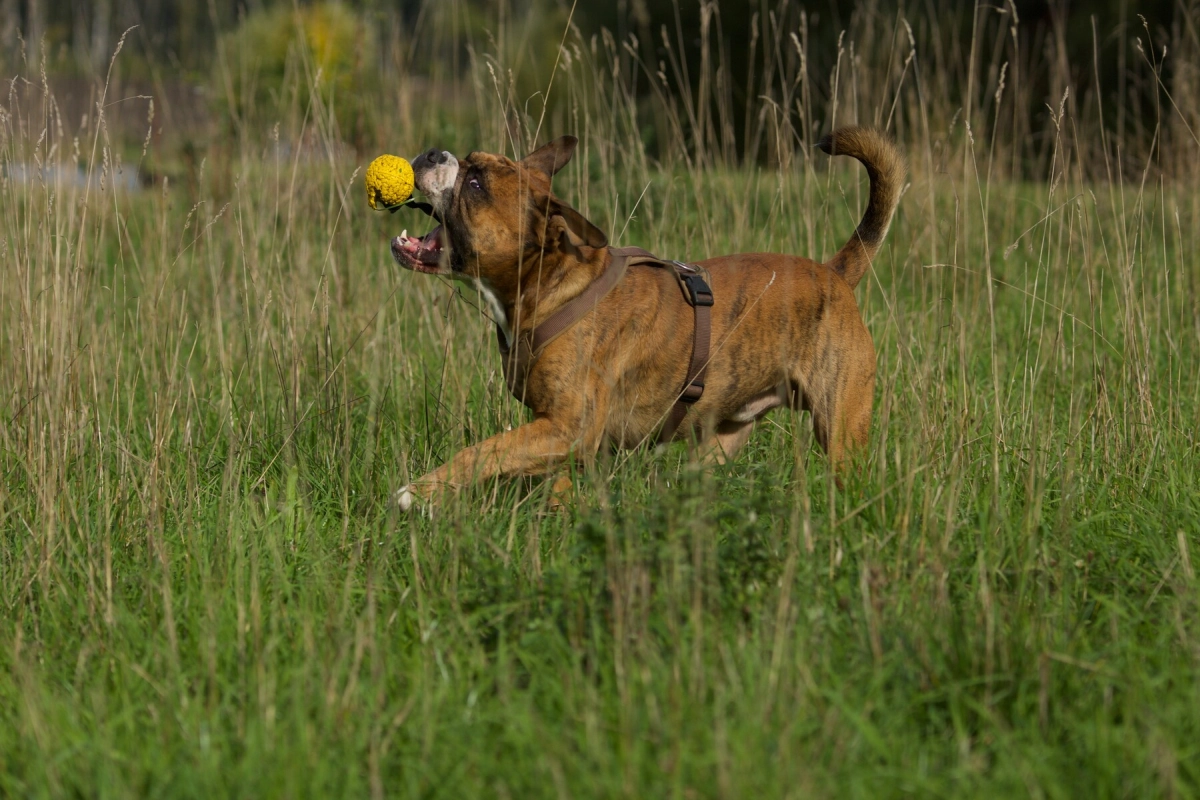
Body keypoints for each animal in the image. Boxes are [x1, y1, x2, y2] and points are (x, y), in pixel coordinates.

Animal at [388, 127, 902, 510]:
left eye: (476, 185)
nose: (433, 152)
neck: (551, 283)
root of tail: (834, 274)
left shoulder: (567, 429)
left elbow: (485, 450)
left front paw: (420, 491)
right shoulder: (562, 435)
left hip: (841, 430)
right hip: (719, 443)